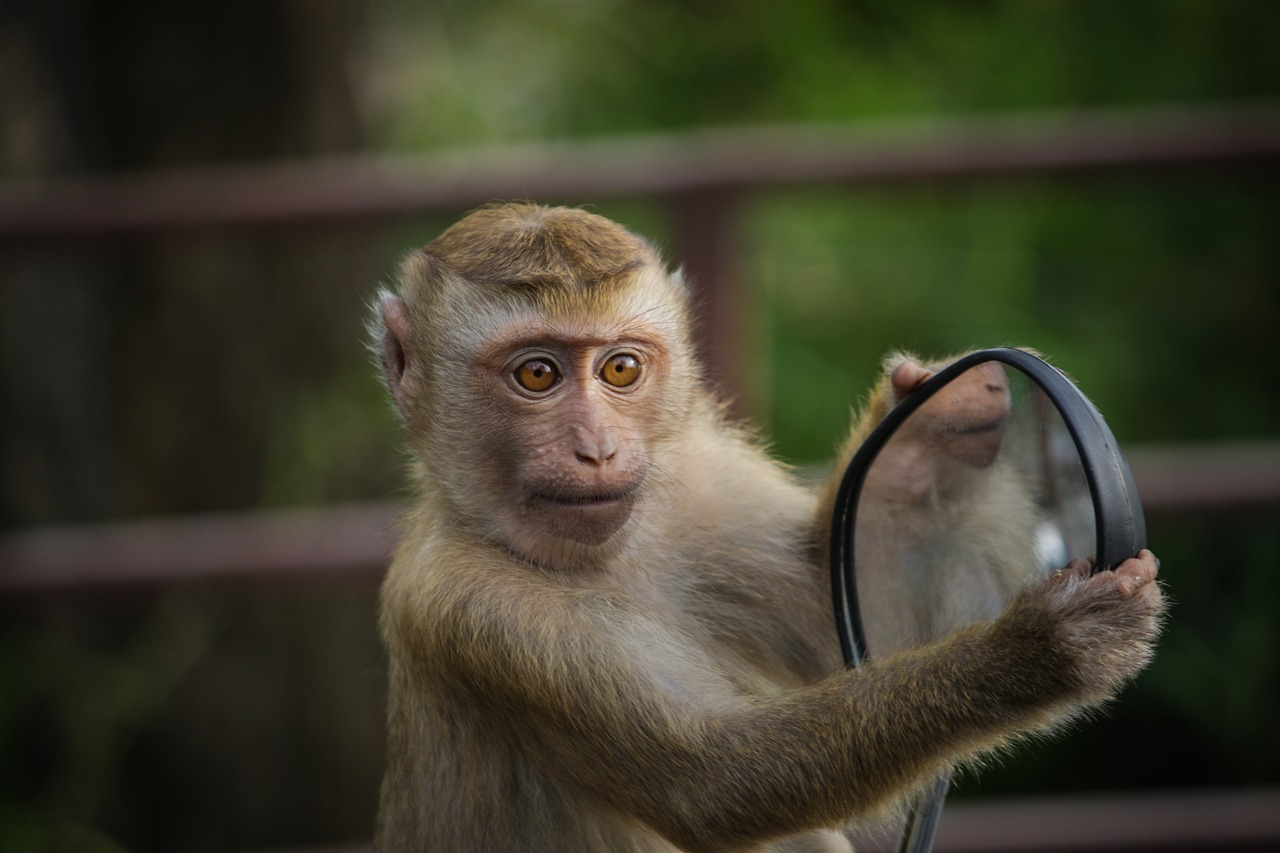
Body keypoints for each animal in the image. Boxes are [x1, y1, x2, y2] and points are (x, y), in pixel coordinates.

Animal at [370, 203, 1163, 853]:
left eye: (621, 368)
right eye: (536, 375)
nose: (596, 449)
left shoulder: (705, 487)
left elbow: (844, 613)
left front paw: (926, 428)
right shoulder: (472, 608)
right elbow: (714, 780)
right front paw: (1036, 652)